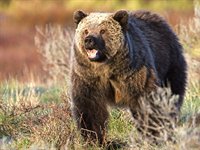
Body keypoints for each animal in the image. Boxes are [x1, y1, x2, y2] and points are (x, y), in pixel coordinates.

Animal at [70, 9, 188, 145]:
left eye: (102, 31)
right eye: (86, 30)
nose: (89, 40)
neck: (107, 68)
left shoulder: (135, 74)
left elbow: (147, 102)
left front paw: (153, 134)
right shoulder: (88, 77)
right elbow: (89, 107)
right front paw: (95, 139)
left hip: (169, 64)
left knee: (172, 95)